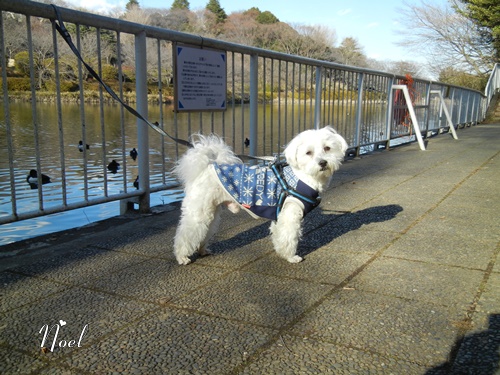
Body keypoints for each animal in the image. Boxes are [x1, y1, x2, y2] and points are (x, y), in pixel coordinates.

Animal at [174, 126, 346, 264]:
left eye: (327, 148)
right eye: (308, 153)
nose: (323, 163)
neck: (303, 177)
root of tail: (204, 168)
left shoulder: (280, 215)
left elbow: (280, 236)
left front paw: (281, 252)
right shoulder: (290, 215)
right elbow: (290, 237)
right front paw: (291, 257)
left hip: (211, 212)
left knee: (204, 232)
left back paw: (202, 250)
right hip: (198, 212)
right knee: (185, 235)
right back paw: (182, 257)